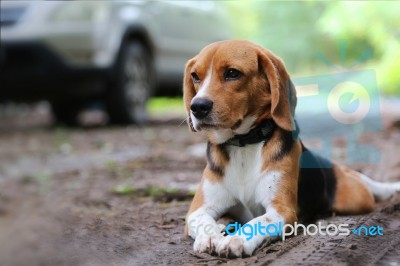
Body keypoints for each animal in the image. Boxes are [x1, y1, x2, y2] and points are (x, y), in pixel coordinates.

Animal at [183, 39, 400, 258]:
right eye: (195, 76)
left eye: (232, 73)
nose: (197, 106)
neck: (244, 144)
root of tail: (334, 166)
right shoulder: (197, 211)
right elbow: (203, 221)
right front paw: (211, 236)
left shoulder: (282, 211)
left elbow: (257, 222)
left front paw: (237, 239)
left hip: (357, 200)